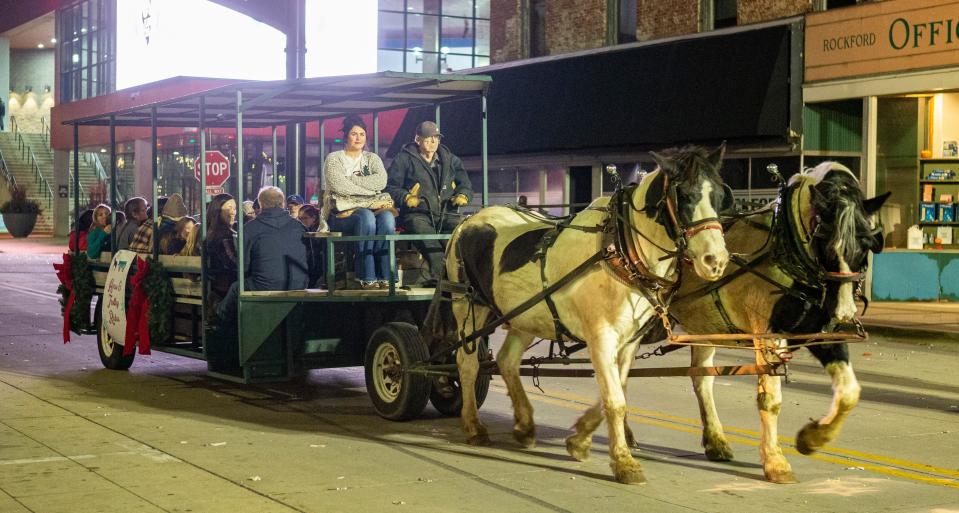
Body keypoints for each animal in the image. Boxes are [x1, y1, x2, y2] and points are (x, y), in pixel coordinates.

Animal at [446, 144, 732, 484]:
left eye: (720, 195)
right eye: (685, 195)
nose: (716, 260)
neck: (619, 249)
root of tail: (469, 220)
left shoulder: (628, 341)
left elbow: (618, 390)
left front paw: (581, 439)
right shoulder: (601, 337)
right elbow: (615, 400)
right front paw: (623, 462)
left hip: (524, 315)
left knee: (506, 360)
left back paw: (525, 424)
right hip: (468, 307)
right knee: (467, 365)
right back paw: (474, 425)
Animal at [568, 161, 888, 484]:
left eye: (866, 243)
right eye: (824, 238)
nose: (844, 312)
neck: (786, 246)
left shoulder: (820, 333)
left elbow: (849, 392)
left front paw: (812, 439)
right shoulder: (767, 334)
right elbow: (770, 399)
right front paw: (776, 462)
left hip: (700, 327)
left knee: (694, 379)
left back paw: (711, 440)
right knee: (619, 376)